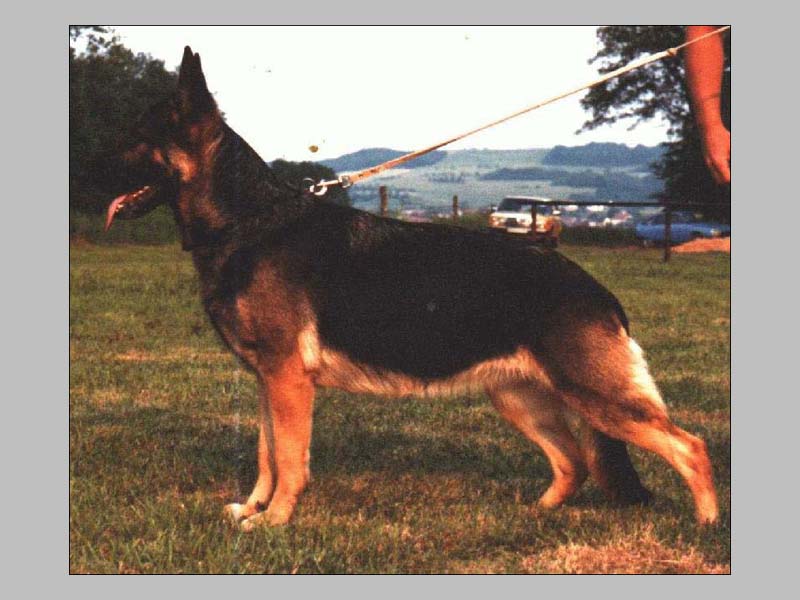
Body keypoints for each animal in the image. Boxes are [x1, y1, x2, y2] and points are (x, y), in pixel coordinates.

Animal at [102, 47, 718, 529]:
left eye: (137, 138)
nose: (90, 159)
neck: (247, 219)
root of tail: (597, 290)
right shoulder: (267, 380)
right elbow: (266, 453)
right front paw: (252, 509)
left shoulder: (287, 380)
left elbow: (291, 458)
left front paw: (275, 522)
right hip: (520, 397)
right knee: (574, 461)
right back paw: (535, 514)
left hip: (594, 396)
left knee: (690, 447)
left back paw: (707, 526)